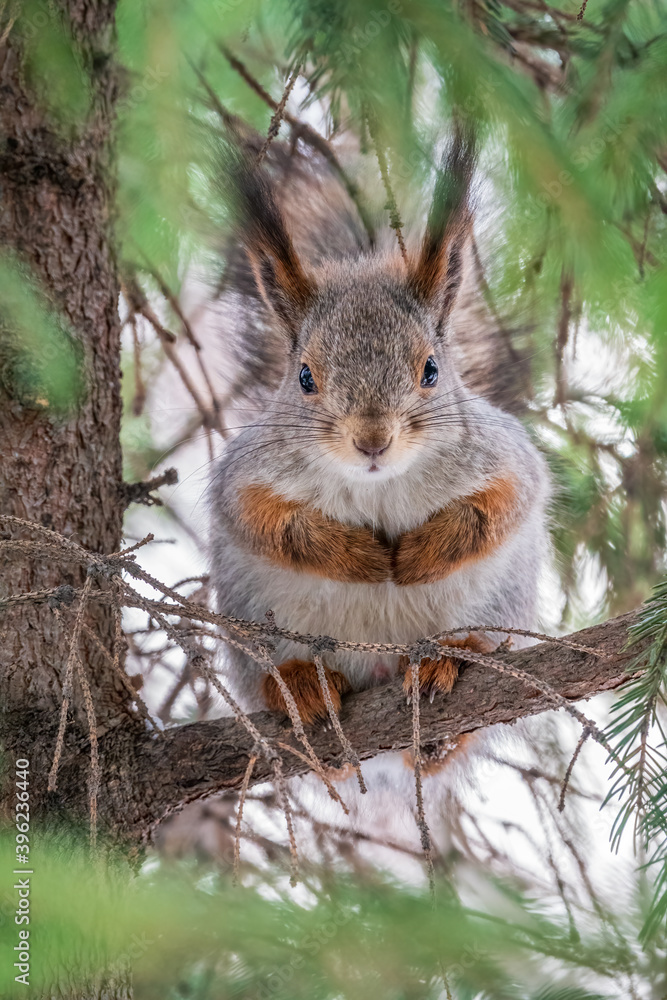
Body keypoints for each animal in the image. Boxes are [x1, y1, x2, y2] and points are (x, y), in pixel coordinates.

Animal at [209, 132, 550, 726]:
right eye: (304, 377)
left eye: (431, 369)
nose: (372, 440)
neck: (379, 484)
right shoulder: (246, 471)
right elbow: (264, 520)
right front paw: (360, 557)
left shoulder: (503, 452)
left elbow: (501, 504)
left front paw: (418, 556)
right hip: (254, 624)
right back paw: (300, 684)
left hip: (498, 603)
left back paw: (447, 664)